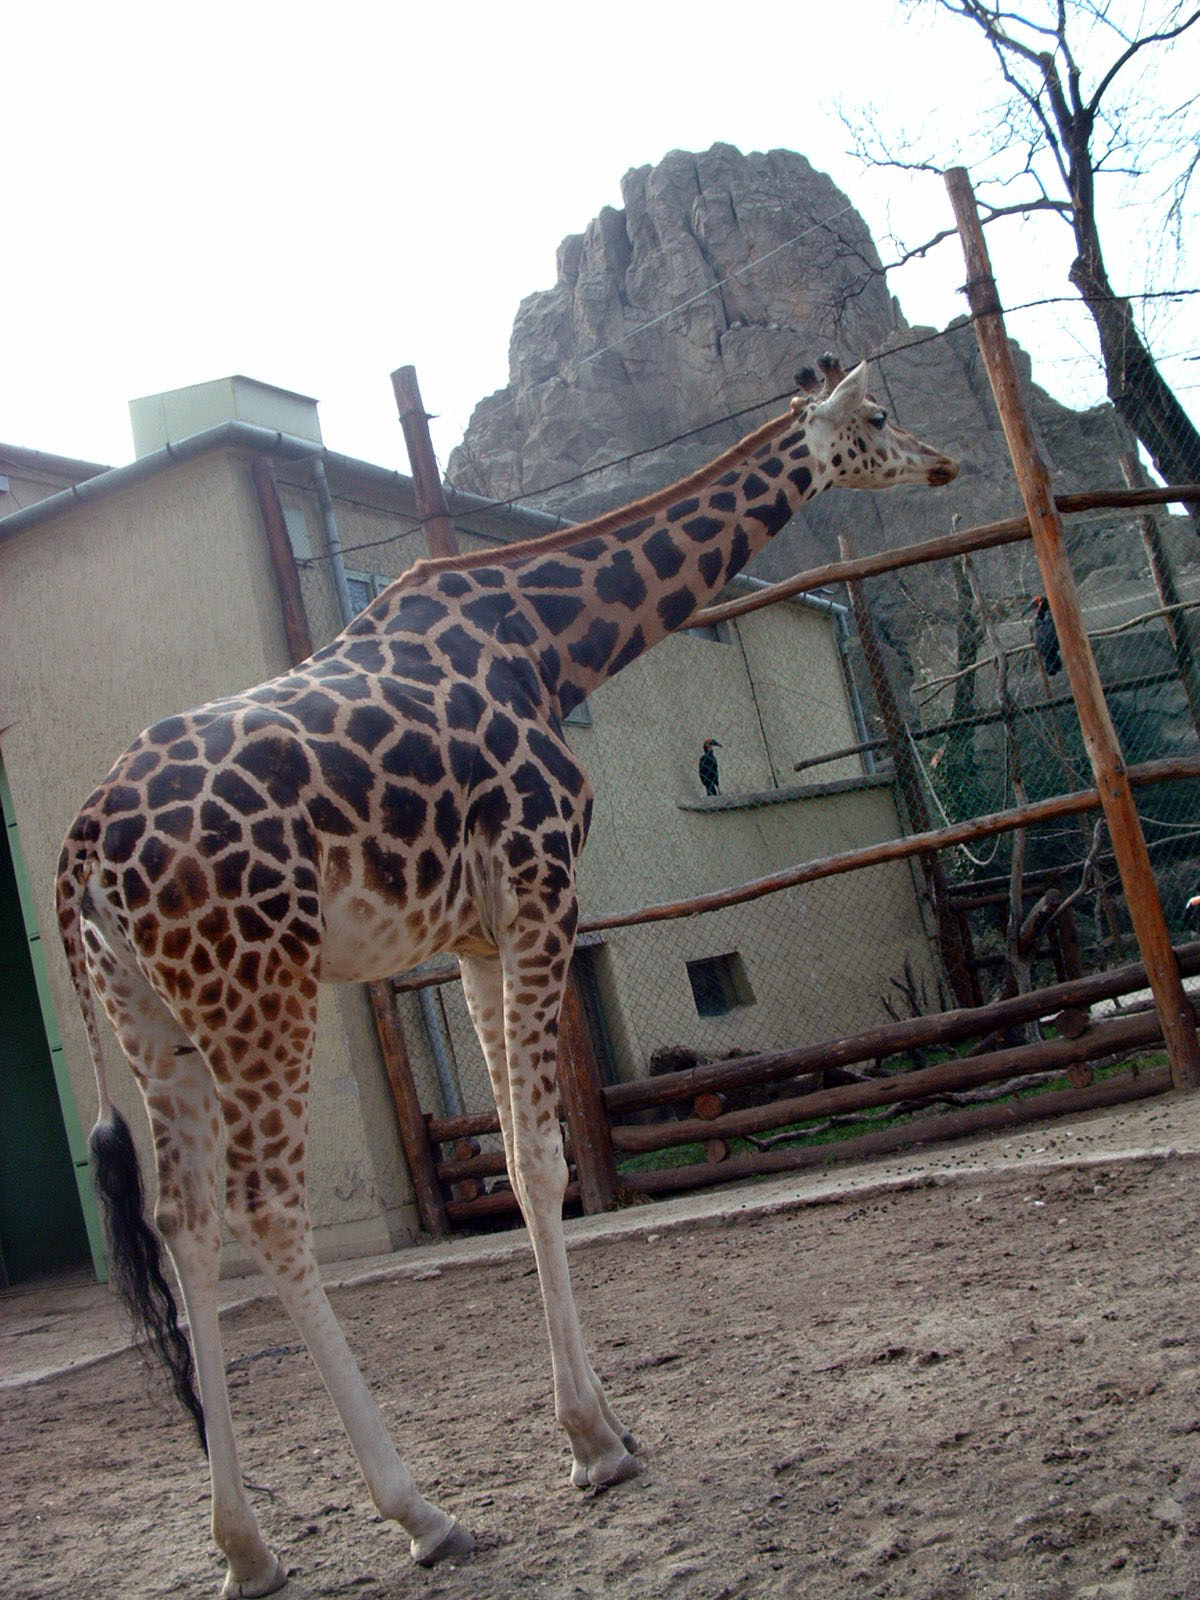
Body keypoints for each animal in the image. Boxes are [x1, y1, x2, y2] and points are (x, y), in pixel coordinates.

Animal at [56, 356, 960, 1593]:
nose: (943, 460)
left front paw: (603, 1425)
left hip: (155, 1018)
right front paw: (594, 1442)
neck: (551, 641)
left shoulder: (476, 937)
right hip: (260, 986)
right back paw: (421, 1512)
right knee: (266, 1207)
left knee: (181, 1220)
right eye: (873, 416)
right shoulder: (540, 893)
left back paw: (247, 1549)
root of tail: (84, 841)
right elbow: (541, 1155)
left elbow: (530, 1160)